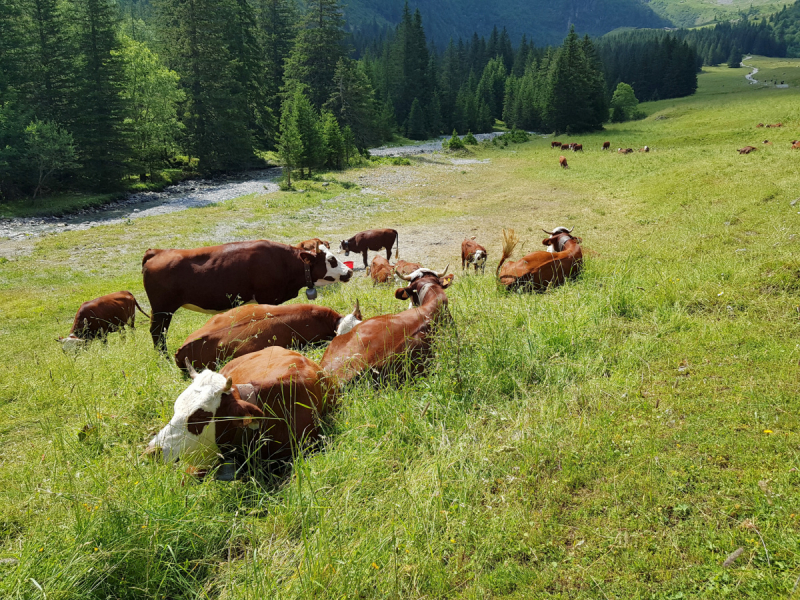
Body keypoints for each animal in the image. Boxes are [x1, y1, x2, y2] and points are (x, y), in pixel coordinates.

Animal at [141, 240, 354, 352]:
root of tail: (156, 252)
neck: (283, 263)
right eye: (331, 259)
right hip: (162, 309)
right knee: (157, 333)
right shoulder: (267, 298)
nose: (349, 272)